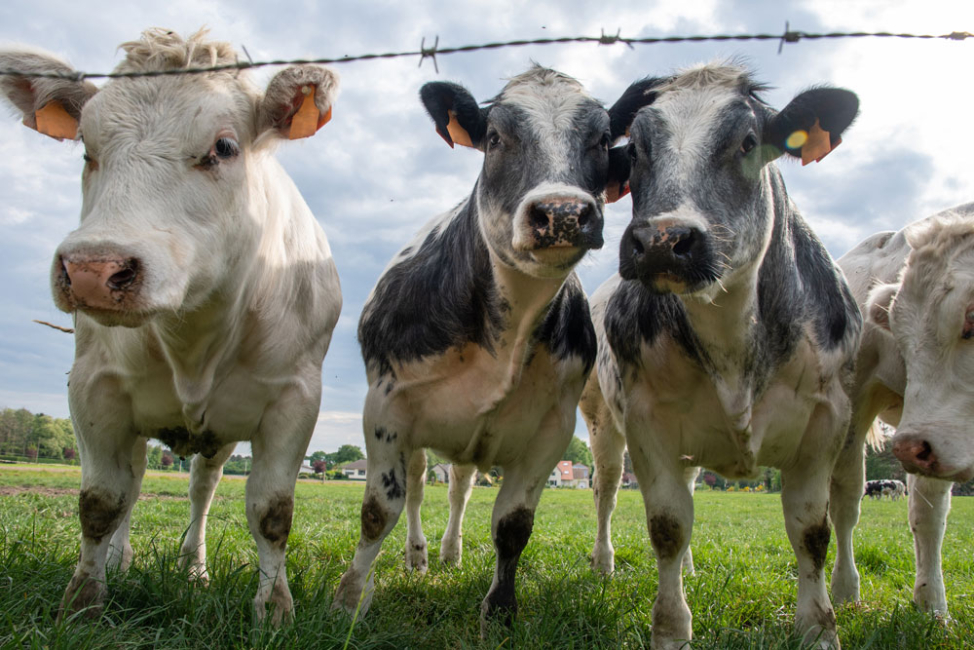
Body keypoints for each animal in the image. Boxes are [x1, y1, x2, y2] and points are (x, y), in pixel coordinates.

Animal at [0, 29, 341, 624]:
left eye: (224, 147)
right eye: (86, 147)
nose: (92, 269)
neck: (195, 338)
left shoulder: (295, 398)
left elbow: (272, 511)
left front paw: (274, 610)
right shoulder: (92, 389)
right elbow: (101, 502)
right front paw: (84, 600)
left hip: (219, 436)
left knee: (202, 490)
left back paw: (193, 568)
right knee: (133, 485)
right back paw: (120, 561)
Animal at [332, 66, 655, 634]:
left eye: (600, 139)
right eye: (496, 138)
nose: (562, 213)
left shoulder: (553, 428)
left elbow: (513, 525)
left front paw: (501, 611)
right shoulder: (386, 406)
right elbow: (379, 509)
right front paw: (349, 600)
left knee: (465, 489)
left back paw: (454, 552)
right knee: (417, 489)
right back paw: (418, 556)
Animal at [579, 63, 861, 649]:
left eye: (748, 142)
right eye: (635, 150)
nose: (662, 241)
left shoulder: (828, 420)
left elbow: (811, 530)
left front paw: (819, 626)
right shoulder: (646, 420)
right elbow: (667, 525)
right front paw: (671, 628)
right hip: (602, 424)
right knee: (606, 491)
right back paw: (604, 562)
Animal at [830, 203, 974, 617]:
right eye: (900, 334)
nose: (909, 448)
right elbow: (927, 514)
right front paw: (932, 605)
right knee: (845, 502)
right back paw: (844, 590)